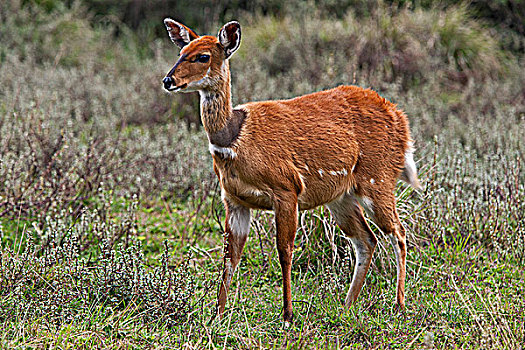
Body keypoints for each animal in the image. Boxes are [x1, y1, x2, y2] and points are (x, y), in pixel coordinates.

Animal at [162, 20, 420, 324]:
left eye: (203, 56)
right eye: (181, 51)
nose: (168, 80)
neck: (235, 140)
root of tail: (401, 120)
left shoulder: (287, 189)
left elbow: (284, 251)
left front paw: (287, 314)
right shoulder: (234, 200)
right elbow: (229, 257)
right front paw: (218, 315)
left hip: (378, 180)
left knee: (398, 233)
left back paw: (399, 304)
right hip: (342, 197)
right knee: (366, 240)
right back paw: (346, 306)